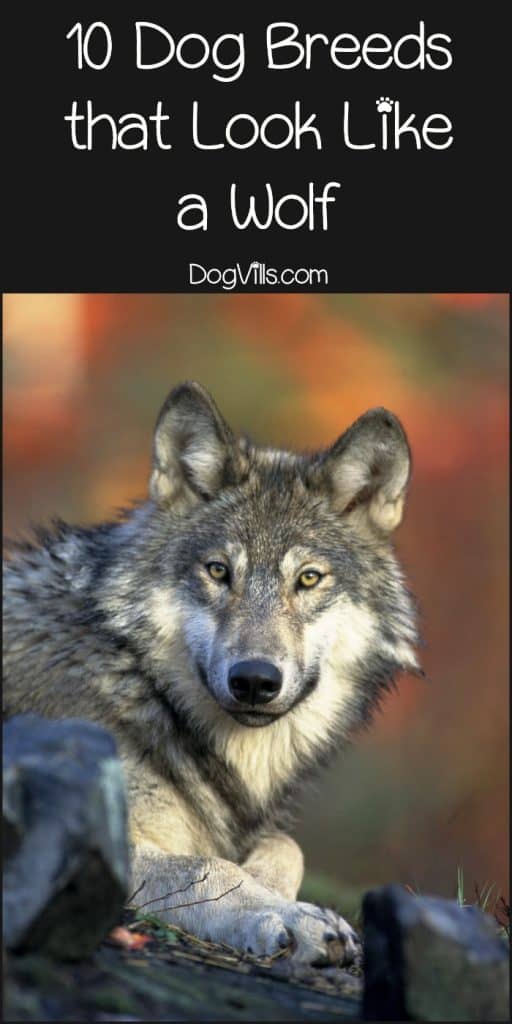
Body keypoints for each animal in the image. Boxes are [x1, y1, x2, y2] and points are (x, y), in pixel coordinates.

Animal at [3, 381, 420, 966]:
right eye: (219, 571)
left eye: (308, 579)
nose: (255, 680)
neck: (140, 683)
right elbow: (208, 866)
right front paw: (290, 917)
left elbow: (286, 847)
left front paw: (274, 890)